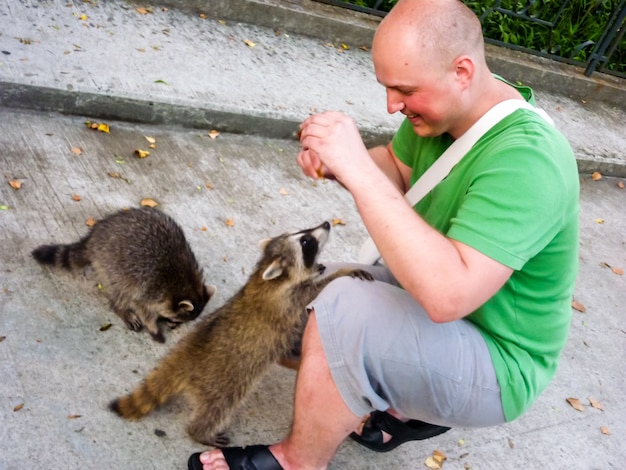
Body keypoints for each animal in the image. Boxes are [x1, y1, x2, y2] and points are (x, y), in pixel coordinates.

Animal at [31, 207, 214, 344]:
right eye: (176, 319)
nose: (173, 326)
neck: (185, 283)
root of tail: (94, 237)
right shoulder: (151, 287)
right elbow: (142, 307)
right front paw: (153, 327)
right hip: (112, 265)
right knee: (121, 292)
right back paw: (121, 308)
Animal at [108, 222, 370, 446]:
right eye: (306, 242)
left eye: (303, 232)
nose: (326, 223)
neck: (270, 276)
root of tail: (187, 356)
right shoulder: (288, 301)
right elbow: (316, 291)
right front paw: (342, 272)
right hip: (223, 385)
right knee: (216, 409)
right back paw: (200, 432)